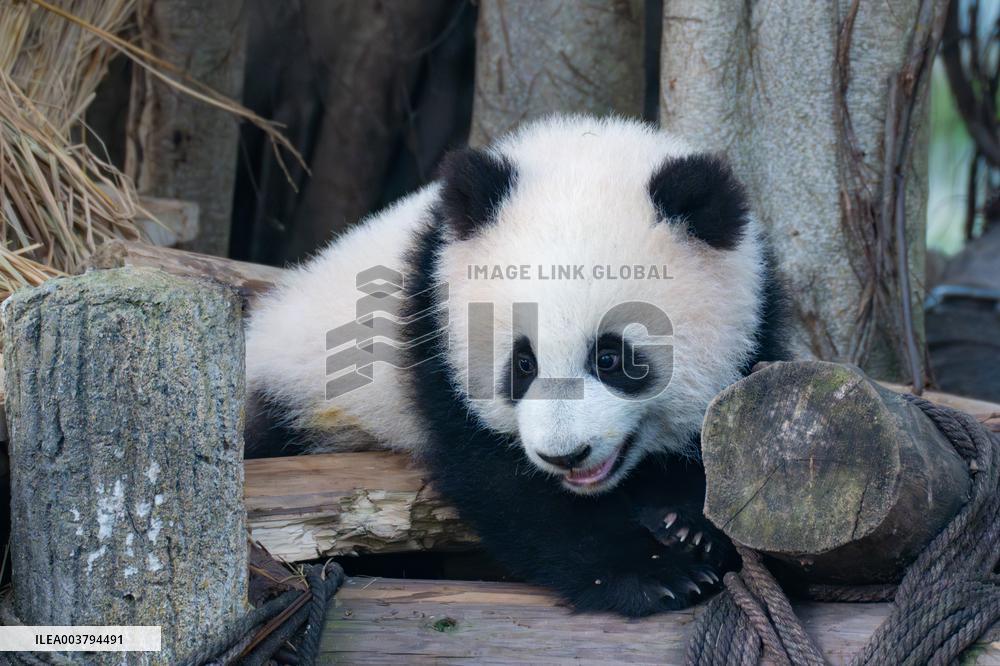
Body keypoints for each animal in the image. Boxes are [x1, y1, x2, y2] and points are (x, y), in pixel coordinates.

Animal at [245, 115, 787, 617]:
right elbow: (505, 485)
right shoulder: (436, 341)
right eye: (523, 363)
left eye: (610, 357)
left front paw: (689, 526)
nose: (566, 455)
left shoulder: (758, 316)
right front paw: (654, 576)